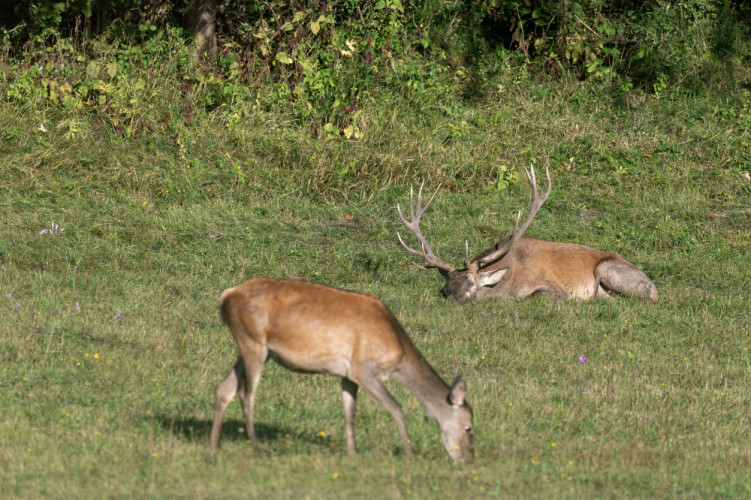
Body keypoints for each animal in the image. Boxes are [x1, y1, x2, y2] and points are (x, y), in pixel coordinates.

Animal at [209, 278, 472, 460]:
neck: (398, 353)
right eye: (469, 427)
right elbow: (397, 408)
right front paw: (411, 456)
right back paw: (256, 449)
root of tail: (226, 296)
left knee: (224, 387)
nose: (468, 460)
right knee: (246, 394)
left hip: (250, 347)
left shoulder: (348, 375)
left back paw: (214, 445)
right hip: (253, 343)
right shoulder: (365, 370)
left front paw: (352, 454)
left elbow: (349, 413)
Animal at [400, 166, 656, 302]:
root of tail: (654, 287)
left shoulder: (553, 287)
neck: (508, 281)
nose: (456, 302)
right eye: (446, 290)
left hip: (608, 270)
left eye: (472, 287)